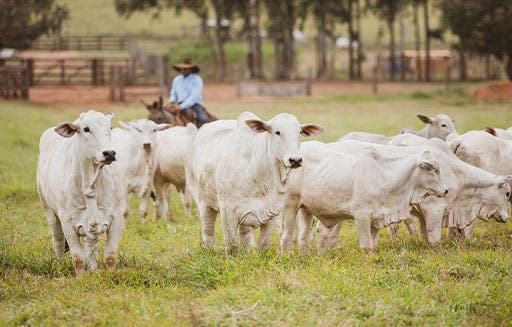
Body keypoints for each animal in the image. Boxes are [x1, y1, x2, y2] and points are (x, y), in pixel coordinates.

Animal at [37, 111, 125, 276]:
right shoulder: (67, 222)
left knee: (91, 245)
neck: (91, 187)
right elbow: (78, 258)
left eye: (110, 127)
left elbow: (110, 256)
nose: (109, 153)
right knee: (58, 241)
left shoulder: (117, 217)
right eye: (86, 129)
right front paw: (80, 278)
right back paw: (60, 266)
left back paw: (93, 269)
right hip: (48, 211)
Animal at [192, 111, 324, 255]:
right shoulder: (228, 212)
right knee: (208, 232)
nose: (295, 160)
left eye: (299, 132)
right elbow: (232, 246)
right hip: (204, 203)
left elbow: (263, 244)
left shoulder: (272, 212)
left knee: (244, 234)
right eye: (277, 132)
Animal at [280, 140, 448, 254]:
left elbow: (373, 246)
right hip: (290, 204)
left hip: (306, 209)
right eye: (434, 170)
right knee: (286, 235)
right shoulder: (361, 216)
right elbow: (367, 246)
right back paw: (286, 256)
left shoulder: (376, 219)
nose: (446, 190)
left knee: (304, 236)